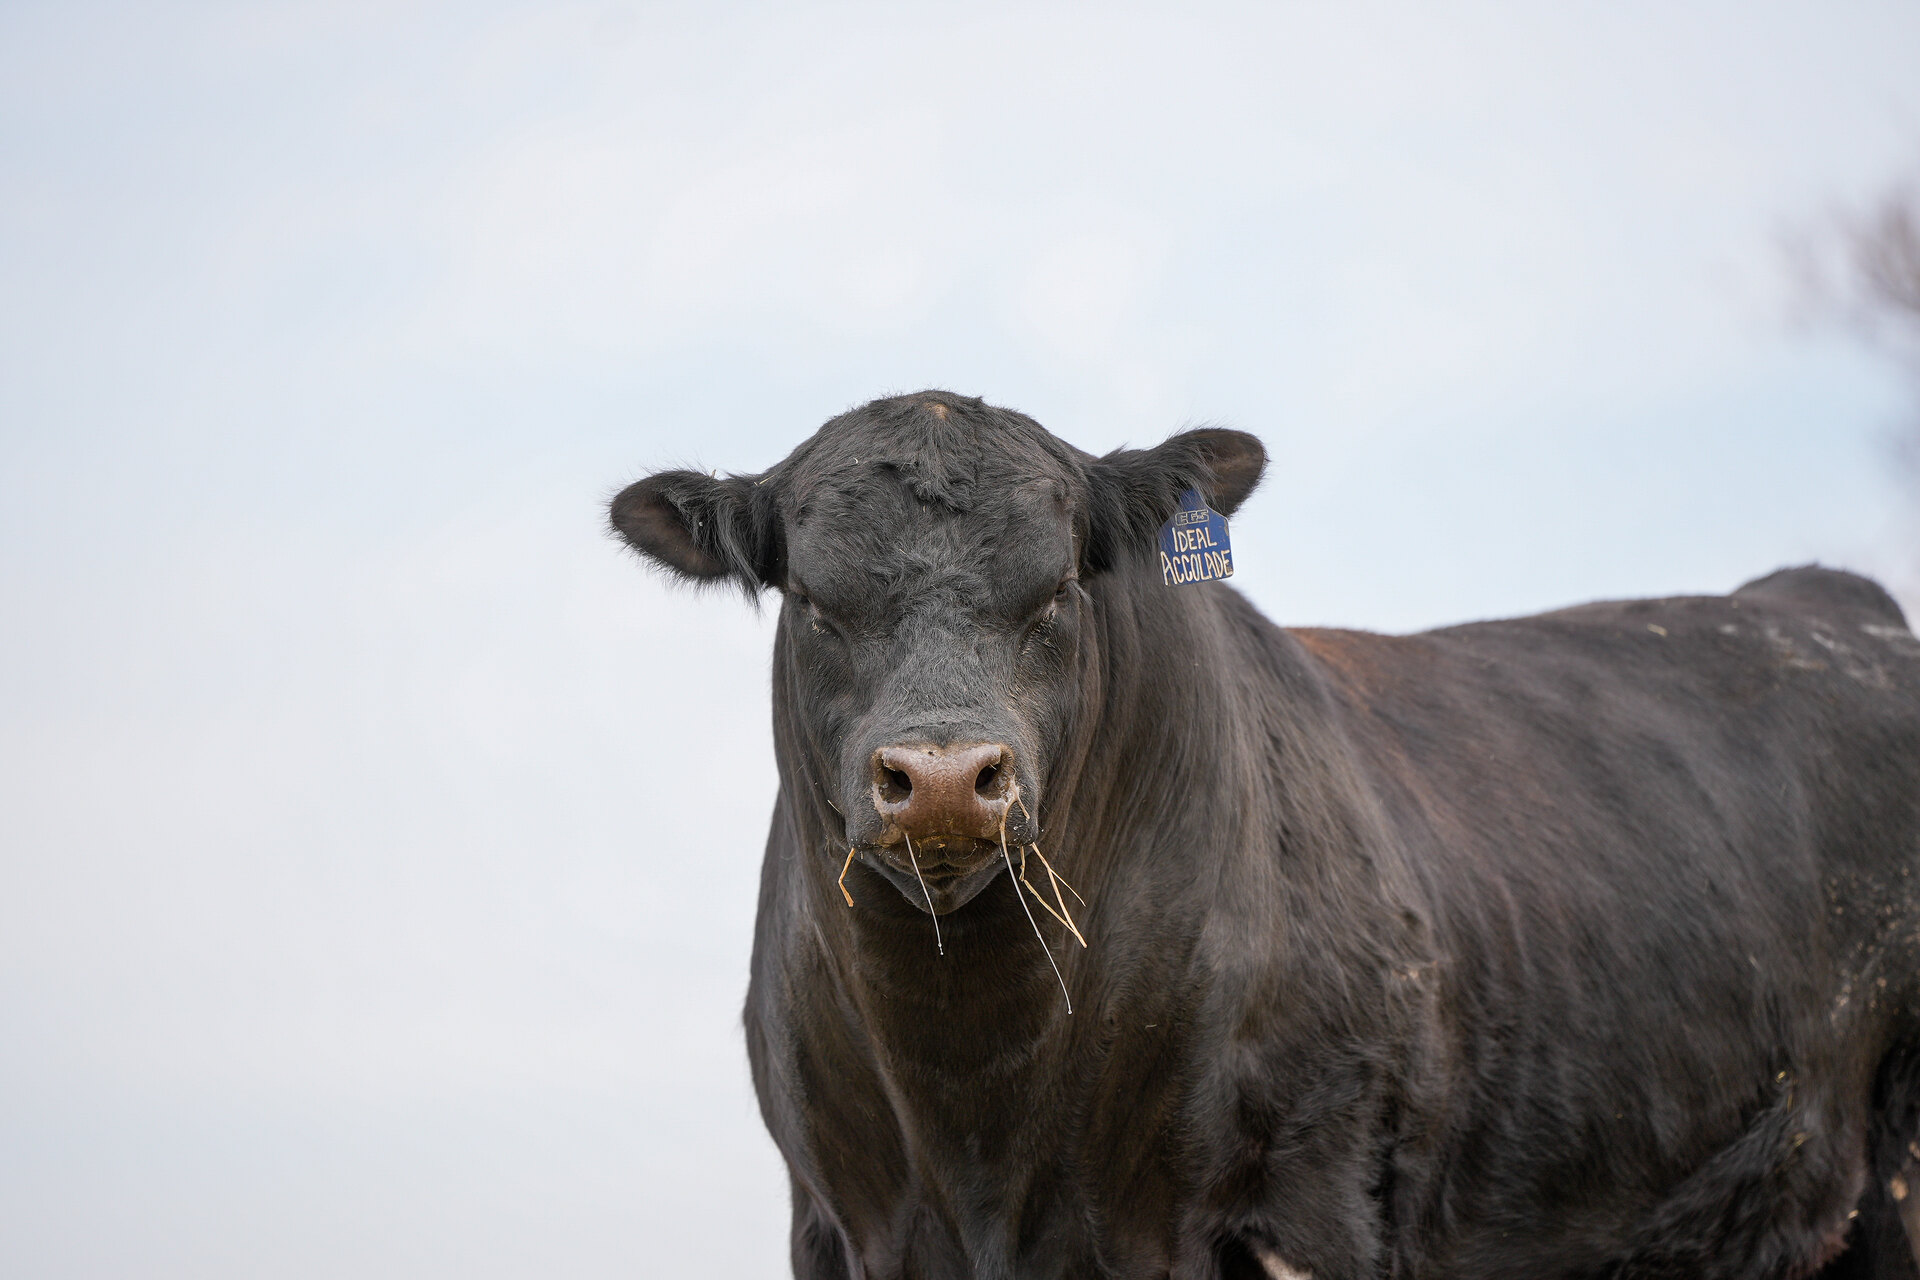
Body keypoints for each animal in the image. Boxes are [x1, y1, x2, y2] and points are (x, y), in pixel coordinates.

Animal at [608, 390, 1920, 1279]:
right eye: (814, 599)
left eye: (1059, 588)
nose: (940, 779)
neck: (982, 1107)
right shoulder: (837, 1216)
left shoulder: (1310, 1193)